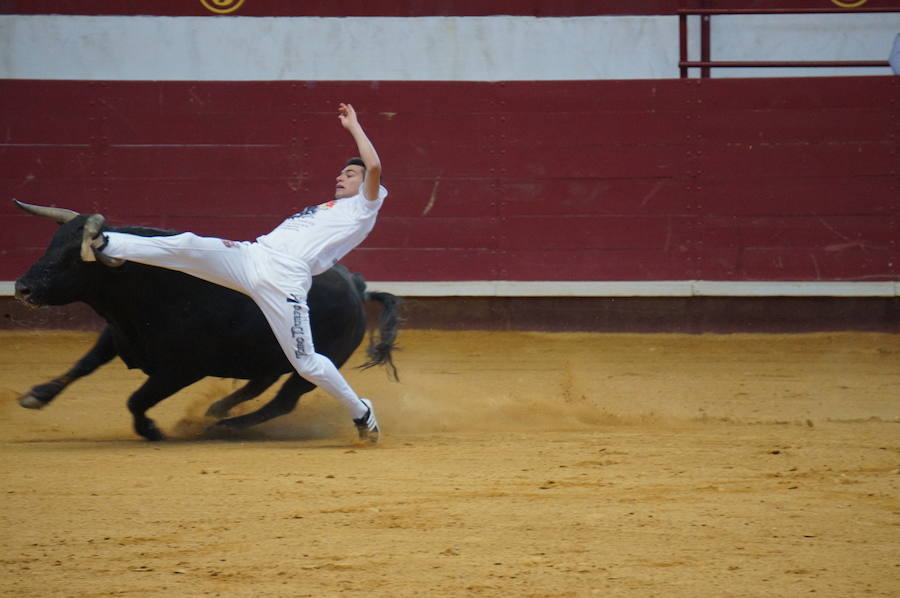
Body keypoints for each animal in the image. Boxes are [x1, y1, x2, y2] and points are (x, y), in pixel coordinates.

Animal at [12, 204, 400, 442]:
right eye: (51, 245)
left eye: (72, 260)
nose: (22, 287)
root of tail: (358, 285)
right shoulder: (117, 335)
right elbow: (82, 365)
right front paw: (36, 395)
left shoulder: (181, 370)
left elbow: (136, 399)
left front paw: (151, 429)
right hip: (267, 355)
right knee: (260, 384)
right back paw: (216, 412)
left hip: (313, 361)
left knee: (284, 400)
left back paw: (221, 426)